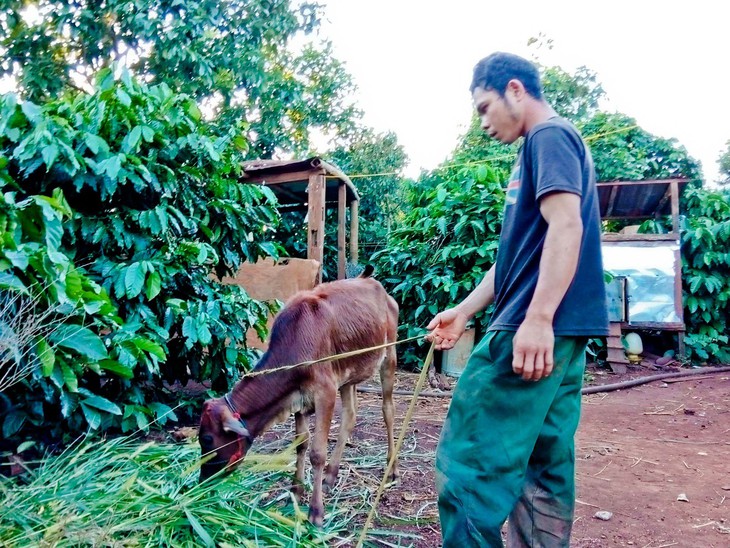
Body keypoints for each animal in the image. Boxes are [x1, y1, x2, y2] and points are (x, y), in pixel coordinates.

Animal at [196, 268, 396, 524]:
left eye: (207, 439)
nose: (202, 481)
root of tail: (371, 282)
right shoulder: (298, 399)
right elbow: (301, 443)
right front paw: (296, 491)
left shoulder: (325, 393)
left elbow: (317, 453)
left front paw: (316, 512)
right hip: (348, 375)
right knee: (350, 416)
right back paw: (331, 476)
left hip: (389, 358)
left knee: (388, 411)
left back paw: (392, 469)